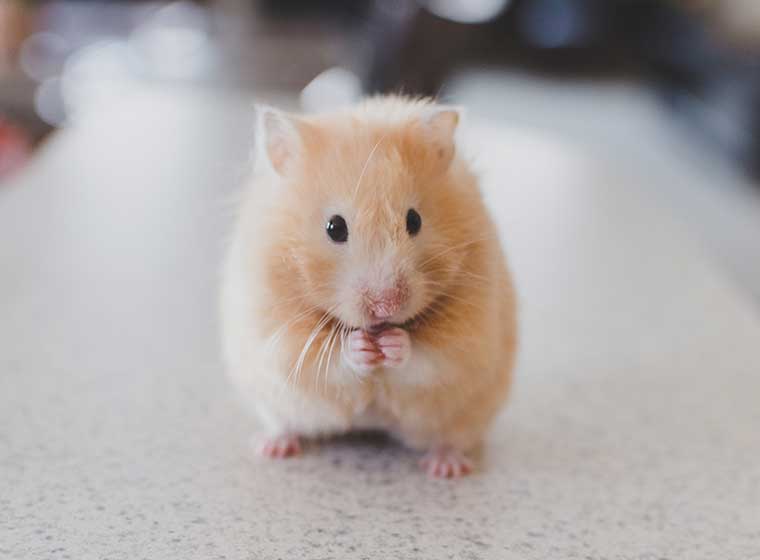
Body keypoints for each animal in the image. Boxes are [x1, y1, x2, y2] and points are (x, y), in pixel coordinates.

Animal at [220, 95, 517, 478]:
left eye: (414, 220)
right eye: (334, 227)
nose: (386, 307)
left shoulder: (469, 336)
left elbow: (429, 357)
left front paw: (393, 344)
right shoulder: (276, 332)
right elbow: (325, 358)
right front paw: (361, 346)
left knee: (450, 438)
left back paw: (446, 467)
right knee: (283, 423)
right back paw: (272, 447)